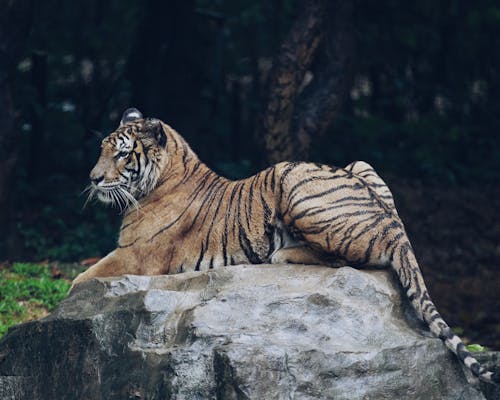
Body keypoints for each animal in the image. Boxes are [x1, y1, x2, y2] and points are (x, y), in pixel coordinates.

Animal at [75, 106, 500, 384]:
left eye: (123, 152)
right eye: (101, 149)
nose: (93, 179)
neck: (161, 178)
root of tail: (395, 228)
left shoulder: (135, 254)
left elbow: (81, 279)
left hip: (291, 178)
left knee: (348, 259)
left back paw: (282, 252)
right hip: (361, 165)